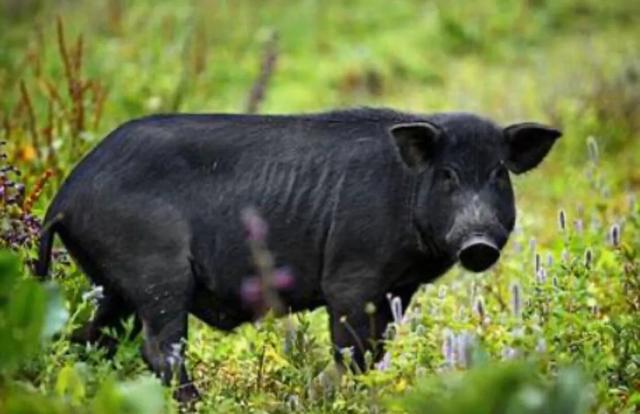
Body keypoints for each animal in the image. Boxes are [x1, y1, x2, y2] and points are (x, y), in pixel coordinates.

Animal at [37, 107, 564, 402]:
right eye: (448, 175)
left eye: (498, 173)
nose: (478, 242)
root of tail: (65, 197)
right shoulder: (351, 278)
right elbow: (351, 350)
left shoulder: (400, 287)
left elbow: (377, 349)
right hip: (155, 271)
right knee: (159, 346)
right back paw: (194, 402)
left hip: (111, 284)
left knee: (90, 338)